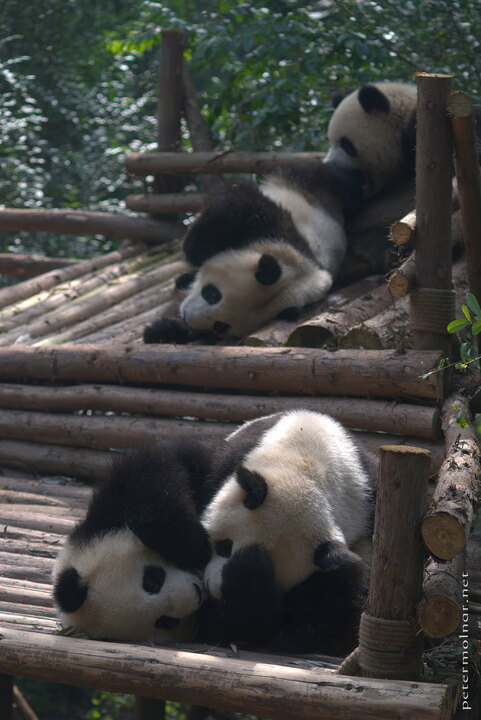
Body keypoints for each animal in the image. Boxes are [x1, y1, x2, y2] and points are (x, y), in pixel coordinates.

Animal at [51, 442, 211, 644]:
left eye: (151, 580)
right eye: (165, 621)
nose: (197, 593)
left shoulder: (110, 505)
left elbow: (153, 467)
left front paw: (196, 545)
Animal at [144, 163, 362, 344]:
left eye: (221, 326)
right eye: (212, 294)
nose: (187, 316)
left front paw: (165, 330)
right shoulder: (277, 228)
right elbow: (235, 202)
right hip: (300, 185)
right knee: (329, 177)